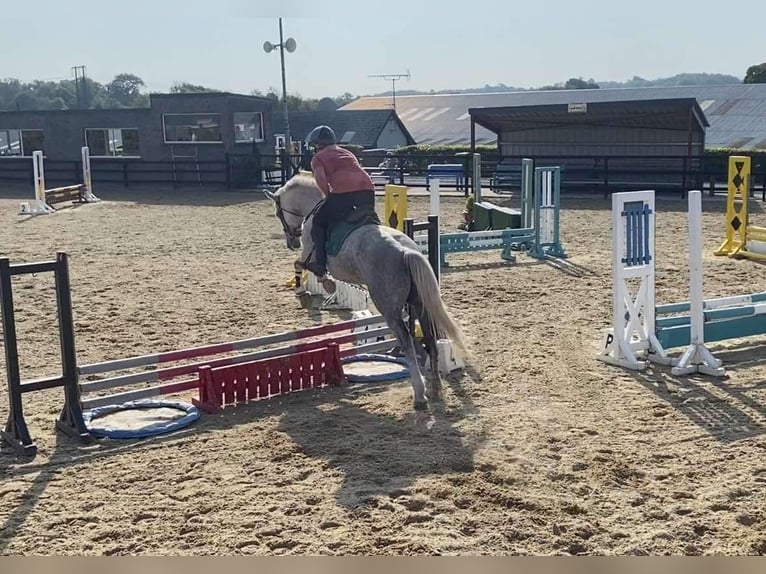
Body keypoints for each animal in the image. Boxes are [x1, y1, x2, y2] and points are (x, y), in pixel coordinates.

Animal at [264, 173, 472, 412]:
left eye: (278, 213)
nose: (292, 242)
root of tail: (406, 251)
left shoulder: (310, 254)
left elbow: (300, 265)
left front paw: (309, 289)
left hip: (388, 307)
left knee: (406, 340)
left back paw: (420, 395)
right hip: (419, 303)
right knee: (429, 339)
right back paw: (436, 388)